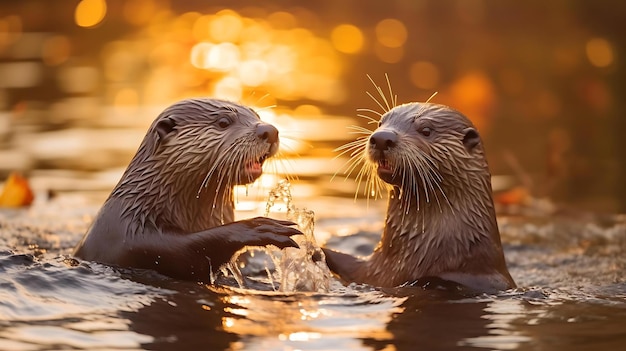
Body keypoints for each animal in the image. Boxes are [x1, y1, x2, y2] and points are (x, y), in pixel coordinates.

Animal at [74, 98, 302, 284]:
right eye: (223, 122)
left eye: (256, 116)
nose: (270, 130)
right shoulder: (133, 241)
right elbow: (190, 254)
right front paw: (258, 227)